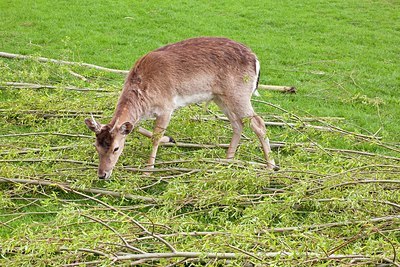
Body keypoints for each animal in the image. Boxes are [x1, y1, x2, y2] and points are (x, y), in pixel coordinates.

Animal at [85, 37, 276, 180]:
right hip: (220, 97)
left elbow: (155, 137)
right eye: (96, 146)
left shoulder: (167, 106)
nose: (102, 174)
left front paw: (148, 171)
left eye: (116, 148)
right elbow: (138, 128)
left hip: (239, 93)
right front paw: (170, 139)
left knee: (258, 123)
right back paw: (226, 161)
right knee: (238, 124)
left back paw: (271, 167)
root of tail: (256, 60)